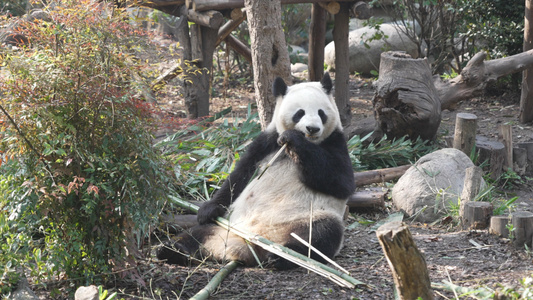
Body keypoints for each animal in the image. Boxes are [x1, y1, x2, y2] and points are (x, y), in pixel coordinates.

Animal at [156, 73, 356, 270]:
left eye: (321, 113)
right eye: (300, 113)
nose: (312, 129)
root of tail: (249, 245)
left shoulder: (336, 142)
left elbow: (340, 182)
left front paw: (294, 139)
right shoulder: (266, 143)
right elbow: (238, 176)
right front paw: (207, 210)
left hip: (309, 219)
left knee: (321, 235)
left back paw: (281, 257)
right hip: (226, 225)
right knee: (196, 233)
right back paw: (170, 250)